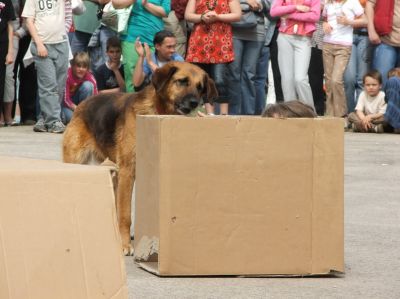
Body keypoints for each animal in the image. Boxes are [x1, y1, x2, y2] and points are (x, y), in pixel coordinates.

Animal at [63, 61, 219, 255]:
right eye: (182, 81)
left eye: (200, 87)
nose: (194, 103)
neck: (159, 111)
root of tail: (82, 105)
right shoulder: (128, 172)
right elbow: (125, 215)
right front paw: (124, 245)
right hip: (79, 164)